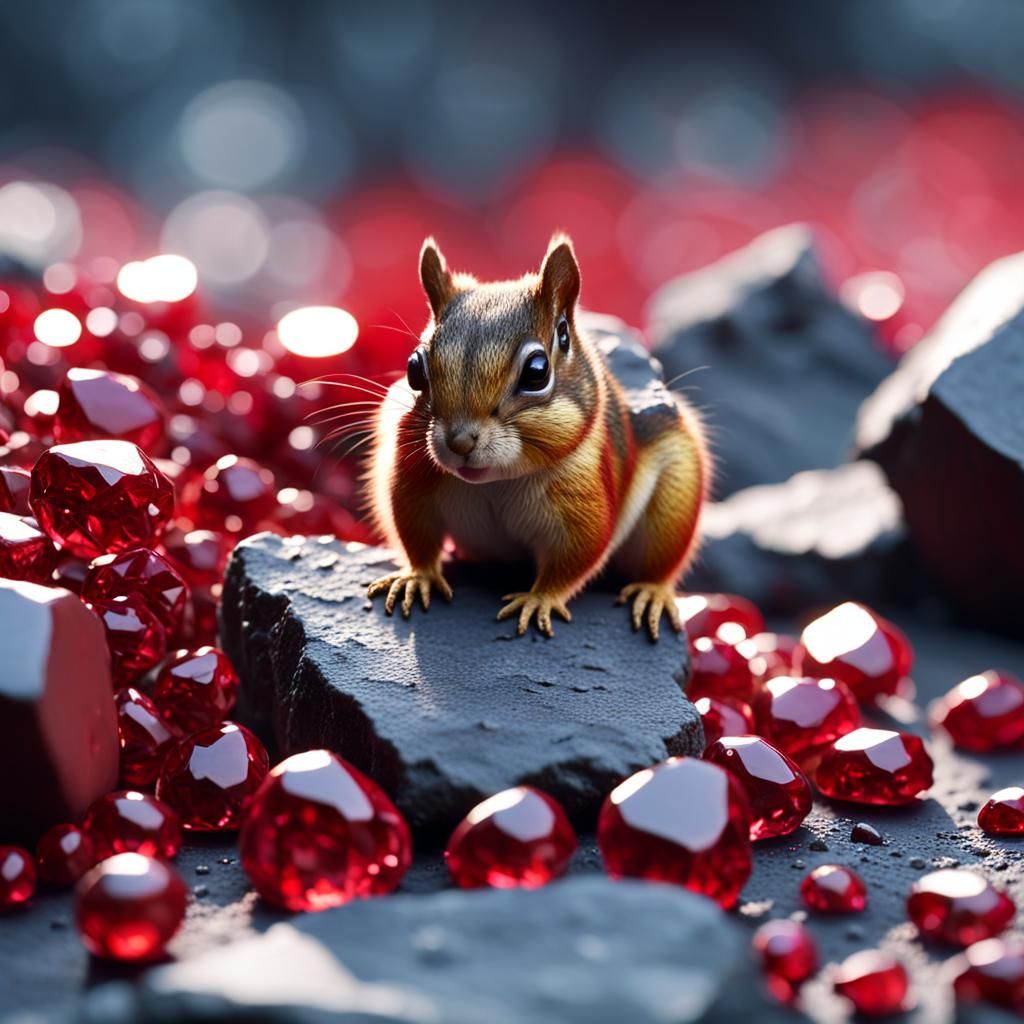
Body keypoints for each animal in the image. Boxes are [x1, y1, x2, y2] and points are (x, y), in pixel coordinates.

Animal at [366, 234, 709, 641]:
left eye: (536, 372)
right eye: (414, 368)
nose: (460, 442)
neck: (494, 483)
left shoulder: (581, 507)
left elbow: (574, 558)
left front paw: (538, 600)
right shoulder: (412, 480)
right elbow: (414, 534)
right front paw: (417, 578)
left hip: (675, 497)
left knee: (661, 561)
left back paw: (651, 593)